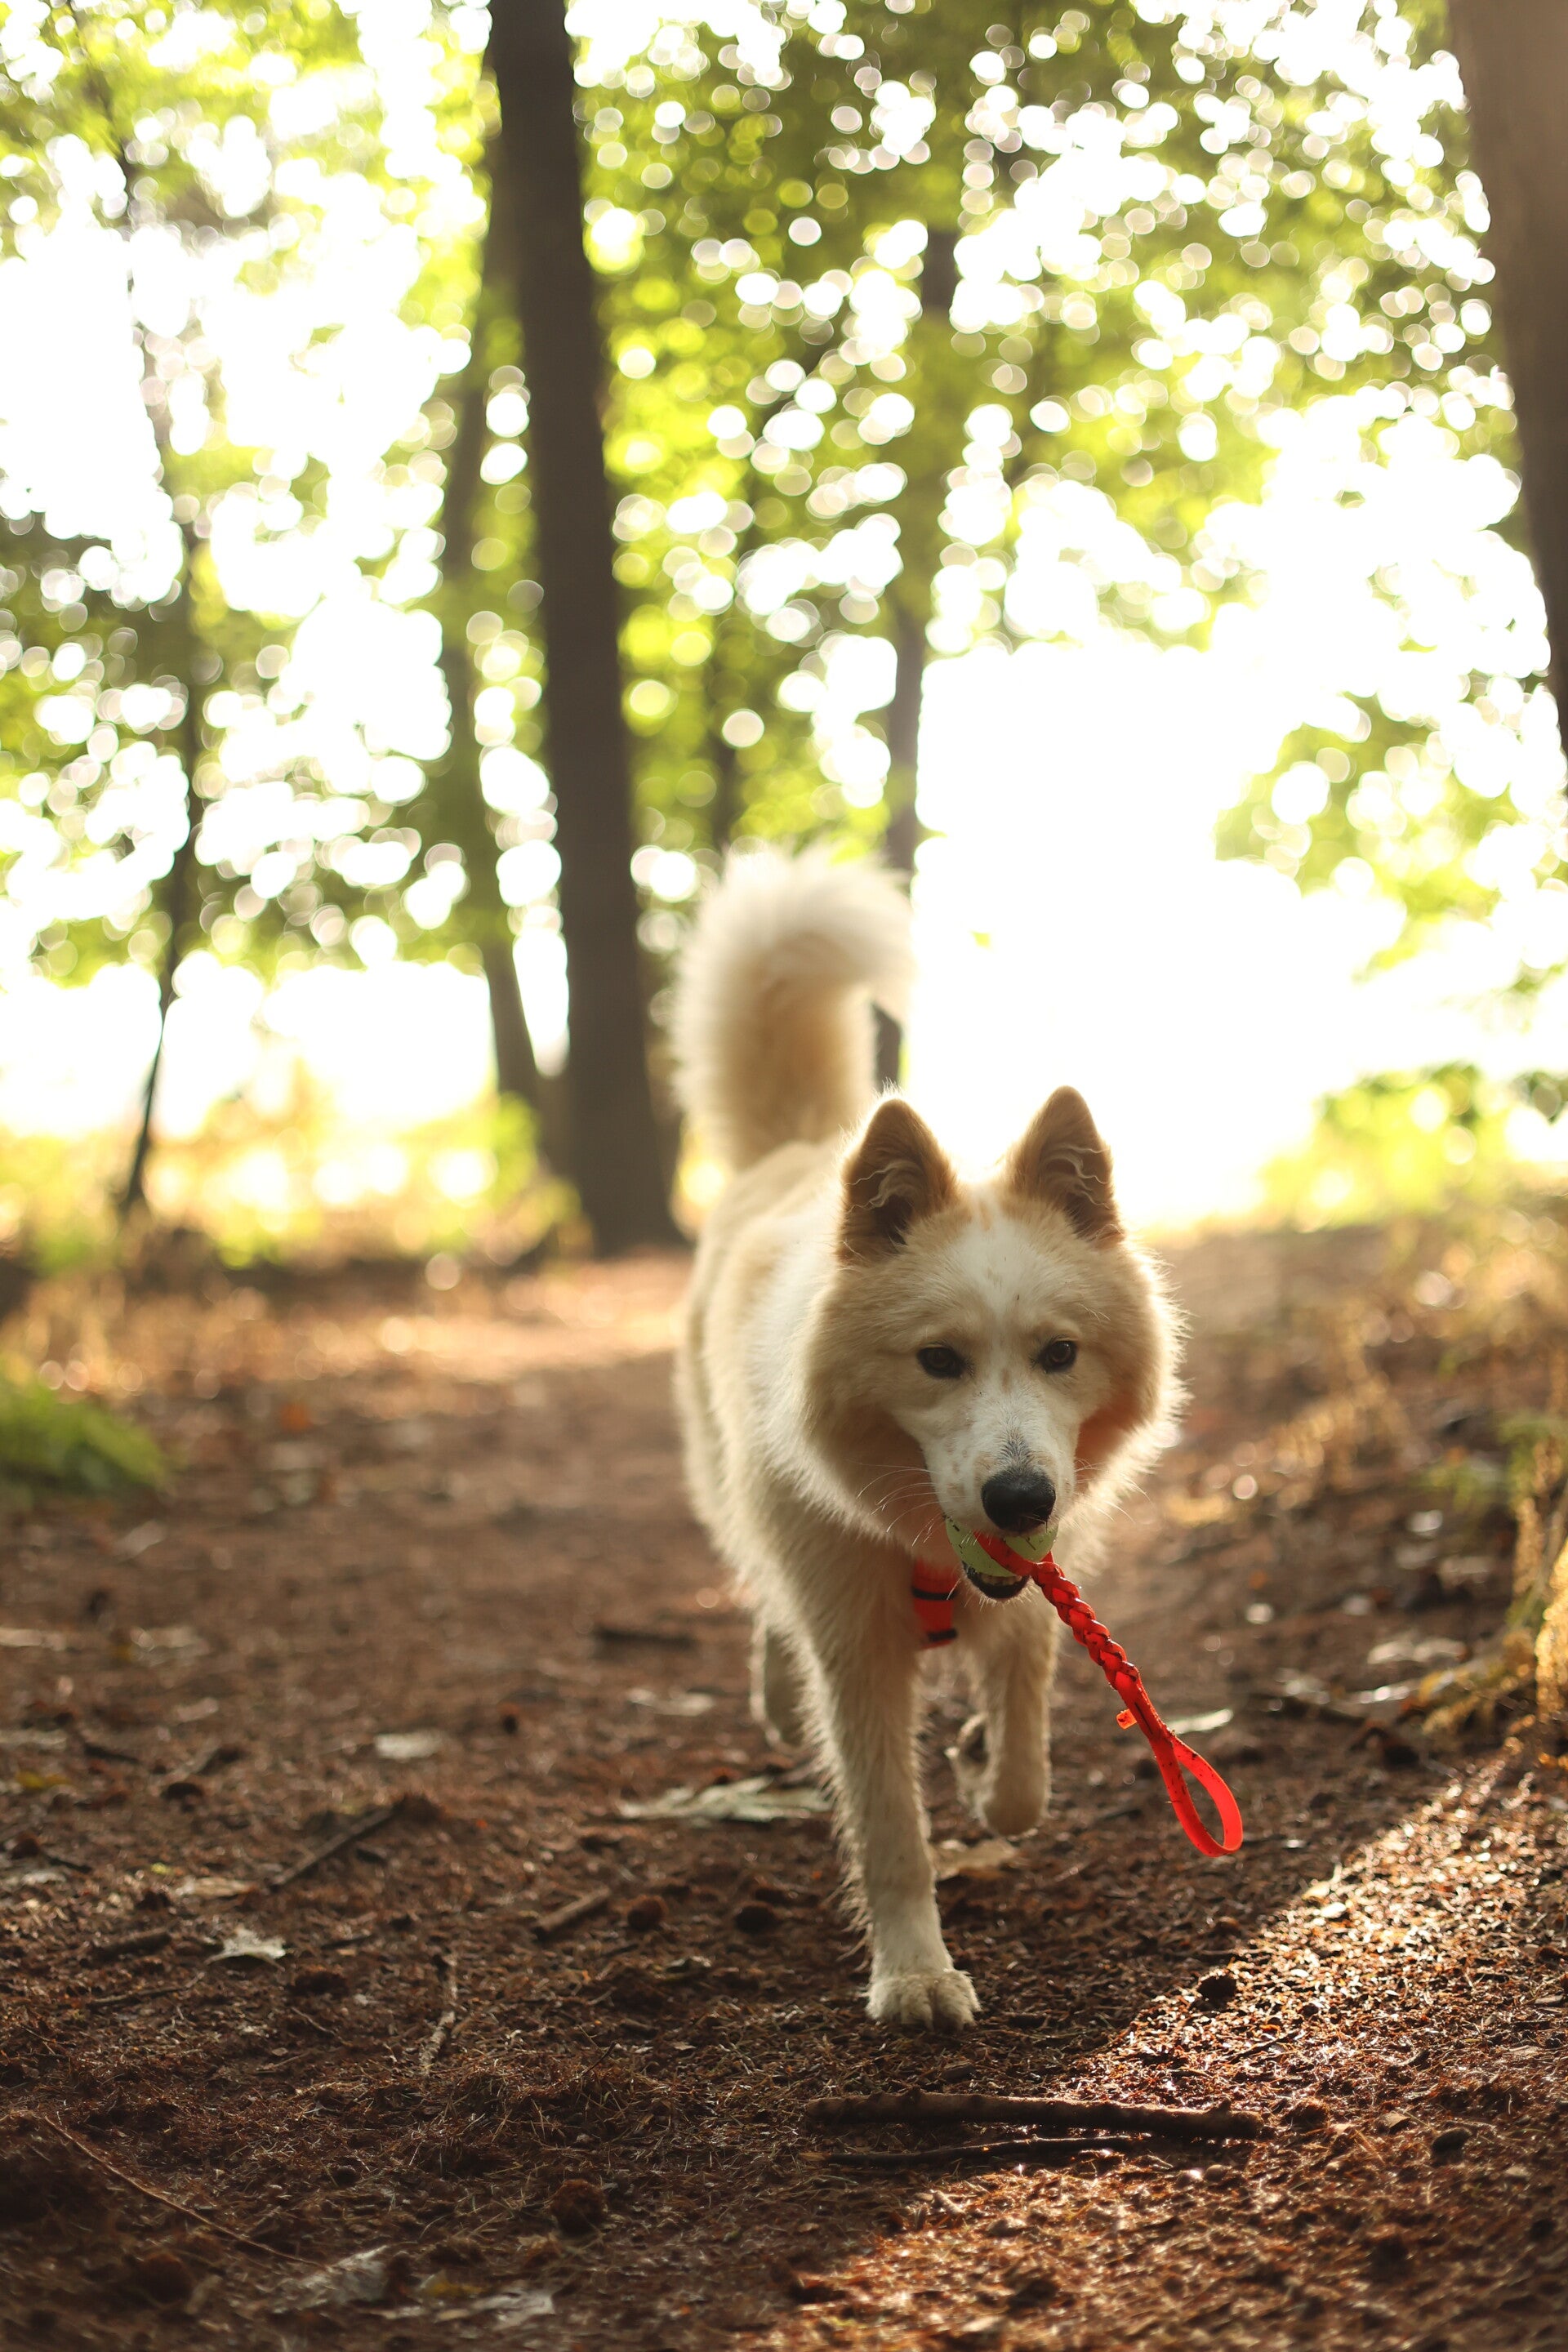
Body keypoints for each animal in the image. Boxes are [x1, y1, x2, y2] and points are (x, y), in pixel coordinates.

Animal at [672, 850, 1177, 2029]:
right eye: (938, 1360)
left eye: (1059, 1353)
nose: (1019, 1499)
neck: (929, 1556)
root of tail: (801, 1147)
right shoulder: (857, 1654)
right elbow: (890, 1832)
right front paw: (914, 1974)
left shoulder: (1040, 1587)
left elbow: (1027, 1762)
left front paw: (988, 1757)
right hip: (735, 1494)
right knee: (762, 1593)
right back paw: (776, 1693)